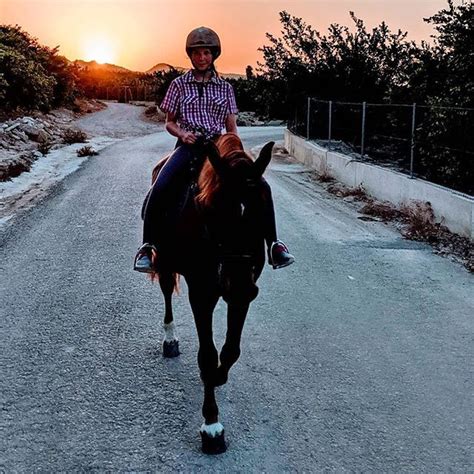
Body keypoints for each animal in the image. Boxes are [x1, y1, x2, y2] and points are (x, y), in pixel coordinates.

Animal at [146, 131, 276, 454]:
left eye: (262, 210)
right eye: (214, 212)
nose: (237, 283)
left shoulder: (242, 296)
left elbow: (230, 350)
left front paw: (218, 376)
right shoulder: (201, 294)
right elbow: (207, 354)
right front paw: (212, 427)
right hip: (164, 264)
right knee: (166, 293)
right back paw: (170, 340)